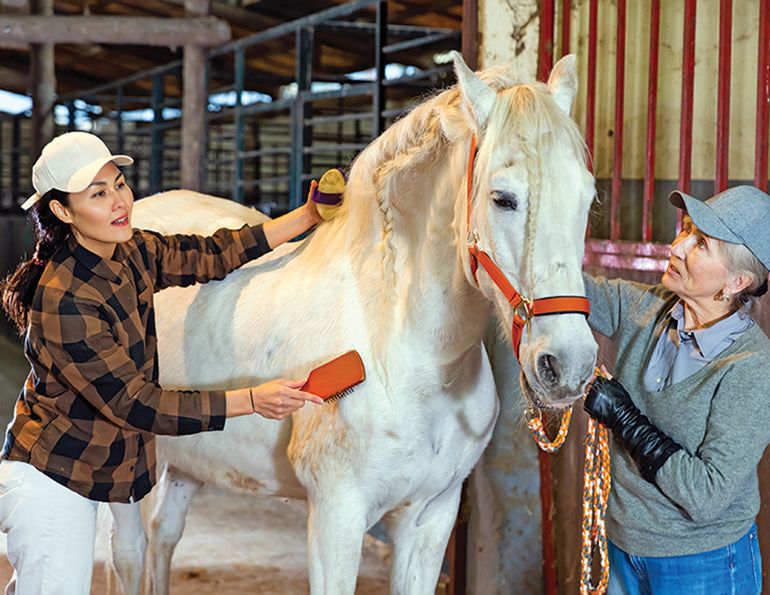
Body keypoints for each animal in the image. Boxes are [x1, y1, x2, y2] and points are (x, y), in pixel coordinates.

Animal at [106, 52, 598, 595]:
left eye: (588, 197)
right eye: (502, 198)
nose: (568, 365)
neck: (407, 355)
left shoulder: (430, 518)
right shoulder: (335, 517)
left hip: (187, 465)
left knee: (164, 537)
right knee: (130, 555)